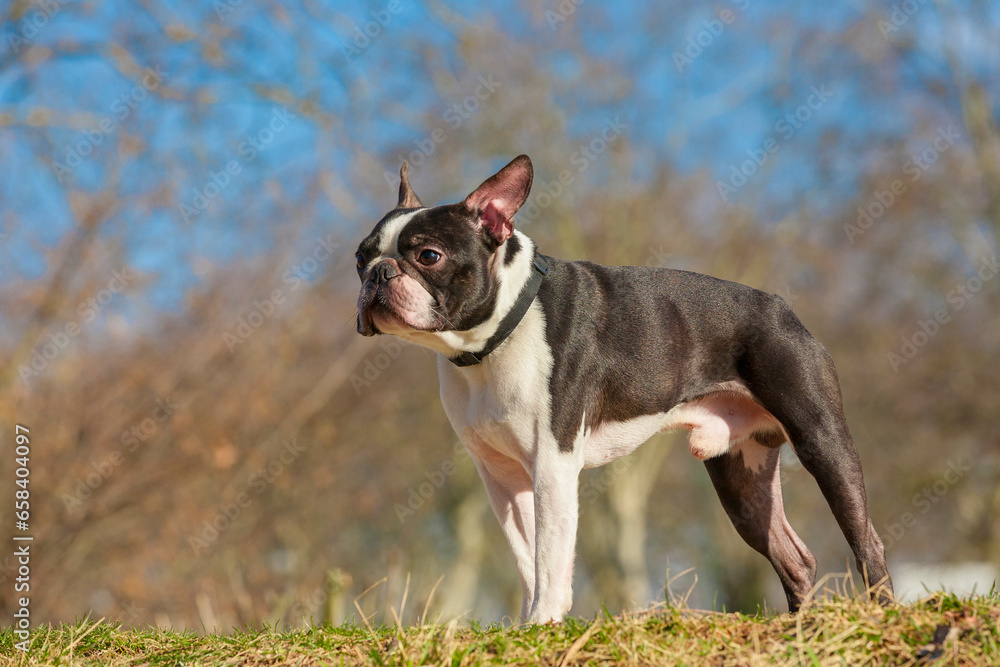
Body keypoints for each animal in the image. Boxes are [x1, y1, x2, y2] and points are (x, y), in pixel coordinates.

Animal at [356, 154, 896, 624]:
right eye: (360, 258)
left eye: (429, 256)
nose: (378, 273)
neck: (492, 342)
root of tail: (785, 310)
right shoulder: (502, 479)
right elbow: (526, 556)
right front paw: (527, 624)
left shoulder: (553, 465)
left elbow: (550, 554)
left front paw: (544, 622)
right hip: (740, 477)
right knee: (794, 558)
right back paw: (799, 627)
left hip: (821, 440)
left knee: (866, 540)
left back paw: (880, 614)